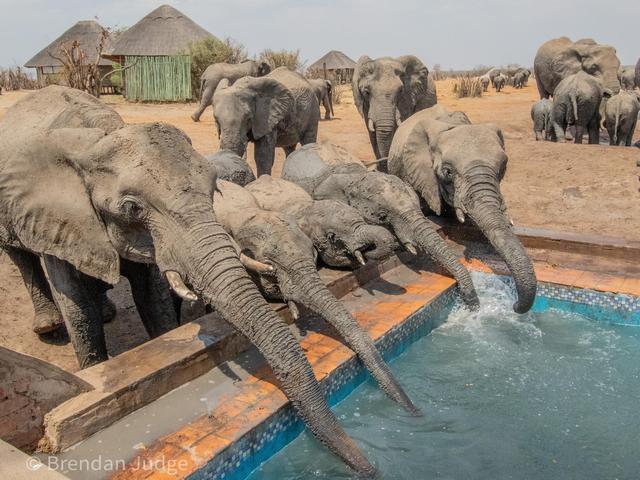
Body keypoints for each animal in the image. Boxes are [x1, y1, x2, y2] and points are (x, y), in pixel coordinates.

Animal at [0, 87, 375, 475]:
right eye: (132, 208)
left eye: (214, 190)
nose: (371, 468)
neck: (97, 136)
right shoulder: (52, 213)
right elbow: (75, 302)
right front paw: (94, 364)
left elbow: (152, 295)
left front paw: (164, 336)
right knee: (20, 256)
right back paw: (47, 327)